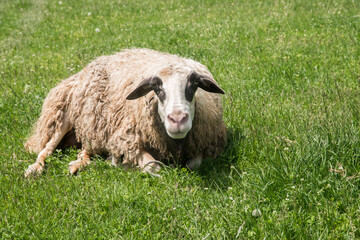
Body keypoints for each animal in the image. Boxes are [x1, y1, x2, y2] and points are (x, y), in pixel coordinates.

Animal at [25, 48, 226, 176]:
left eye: (194, 85)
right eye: (156, 87)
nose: (177, 119)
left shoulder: (205, 143)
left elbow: (194, 165)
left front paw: (112, 161)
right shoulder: (129, 142)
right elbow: (154, 167)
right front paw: (122, 165)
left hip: (92, 129)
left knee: (85, 150)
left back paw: (79, 164)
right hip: (64, 115)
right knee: (46, 148)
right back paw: (35, 169)